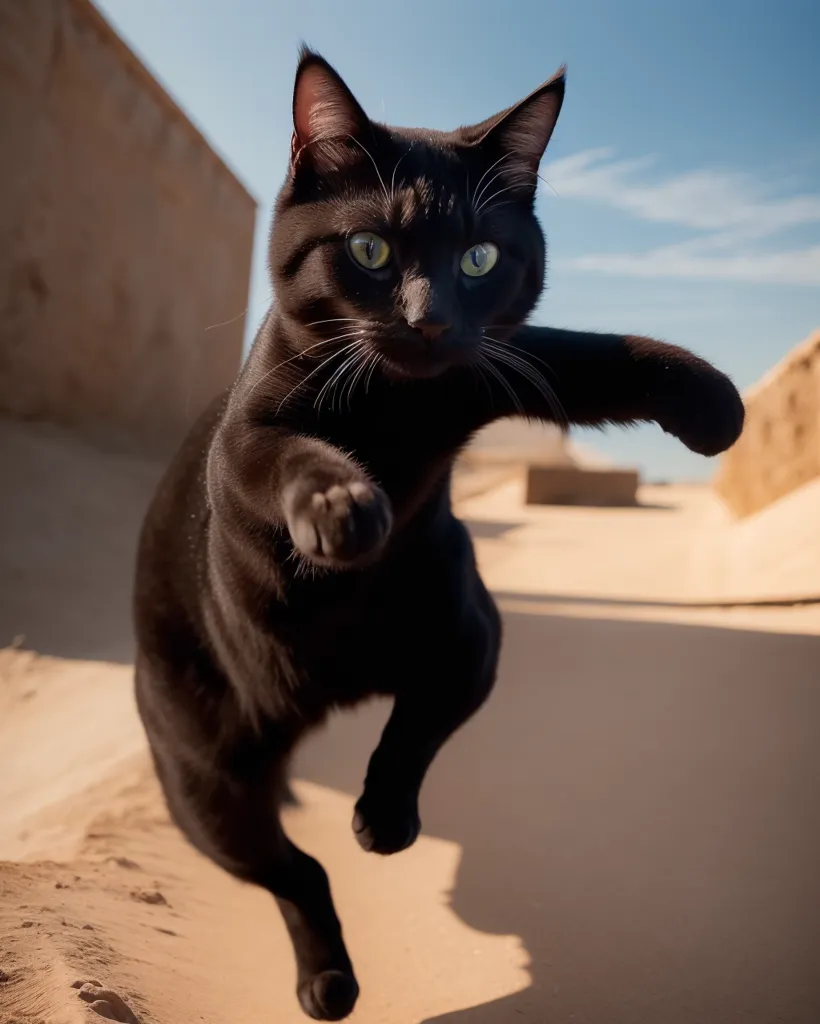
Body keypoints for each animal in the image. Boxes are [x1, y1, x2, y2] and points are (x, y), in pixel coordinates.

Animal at [133, 49, 741, 1024]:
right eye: (370, 250)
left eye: (479, 258)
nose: (427, 317)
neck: (393, 417)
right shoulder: (247, 439)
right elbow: (285, 453)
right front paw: (342, 506)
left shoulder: (472, 632)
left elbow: (584, 352)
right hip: (206, 786)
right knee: (294, 871)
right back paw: (327, 981)